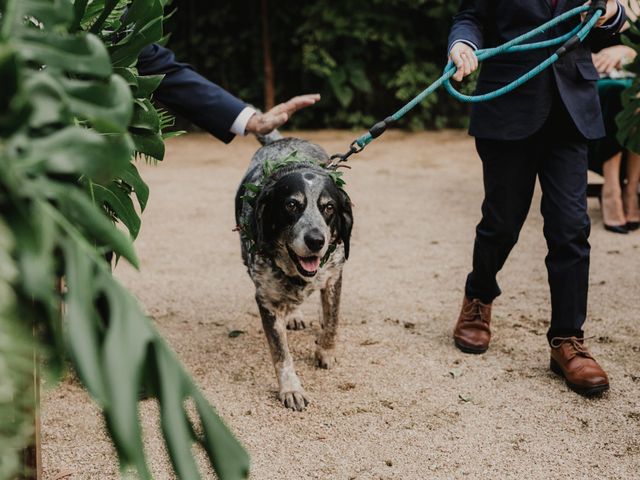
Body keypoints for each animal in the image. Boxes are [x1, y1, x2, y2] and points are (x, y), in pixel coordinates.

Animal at [236, 137, 352, 410]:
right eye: (291, 205)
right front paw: (291, 389)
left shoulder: (334, 276)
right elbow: (281, 353)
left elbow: (333, 319)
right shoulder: (266, 298)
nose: (316, 241)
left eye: (328, 207)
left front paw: (326, 351)